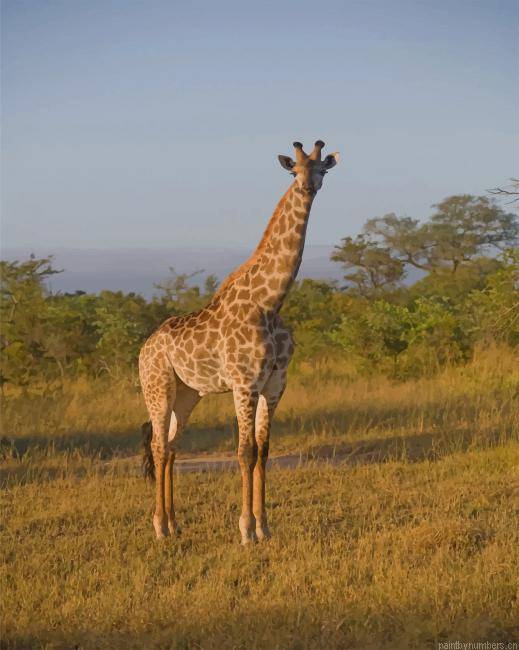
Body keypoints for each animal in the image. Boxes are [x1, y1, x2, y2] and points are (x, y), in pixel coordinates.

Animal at [139, 140, 340, 542]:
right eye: (294, 170)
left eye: (321, 170)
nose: (308, 187)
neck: (270, 301)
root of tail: (144, 347)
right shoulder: (244, 383)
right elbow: (245, 451)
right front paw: (247, 530)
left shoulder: (274, 383)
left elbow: (263, 450)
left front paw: (265, 527)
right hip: (157, 387)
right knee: (157, 445)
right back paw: (159, 527)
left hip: (188, 394)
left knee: (172, 447)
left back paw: (174, 523)